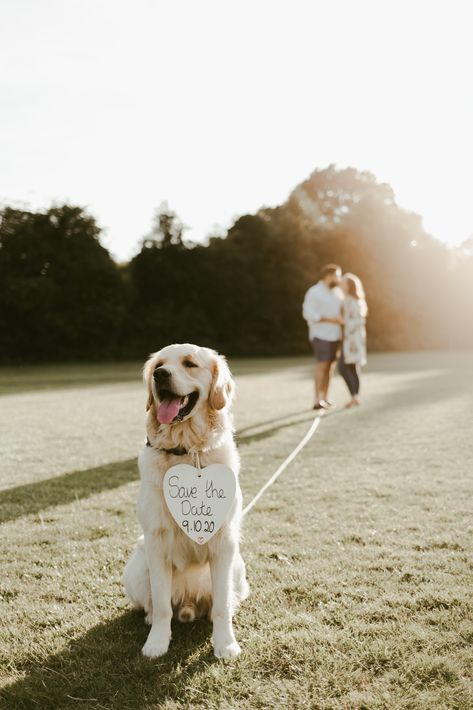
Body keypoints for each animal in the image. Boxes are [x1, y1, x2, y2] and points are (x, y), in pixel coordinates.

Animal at [121, 344, 249, 660]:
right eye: (159, 364)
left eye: (190, 364)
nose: (160, 375)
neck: (187, 449)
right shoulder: (155, 541)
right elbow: (162, 604)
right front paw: (157, 643)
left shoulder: (224, 542)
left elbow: (221, 606)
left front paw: (225, 644)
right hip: (136, 567)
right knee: (153, 603)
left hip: (238, 567)